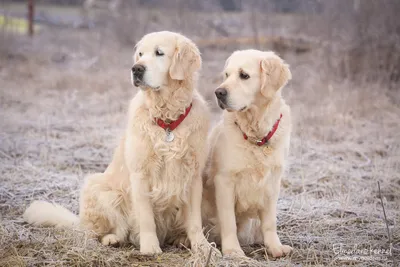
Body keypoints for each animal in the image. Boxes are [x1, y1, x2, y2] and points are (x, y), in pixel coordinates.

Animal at [24, 31, 212, 255]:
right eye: (140, 54)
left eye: (159, 53)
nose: (136, 69)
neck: (167, 121)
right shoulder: (140, 174)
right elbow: (146, 218)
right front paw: (150, 248)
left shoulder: (193, 175)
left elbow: (195, 221)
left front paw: (203, 247)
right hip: (100, 188)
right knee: (97, 232)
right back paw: (112, 239)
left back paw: (180, 239)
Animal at [203, 49, 294, 258]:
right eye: (226, 75)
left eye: (244, 75)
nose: (218, 92)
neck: (257, 137)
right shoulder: (224, 181)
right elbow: (228, 220)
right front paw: (233, 250)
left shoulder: (272, 182)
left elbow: (270, 221)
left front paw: (275, 247)